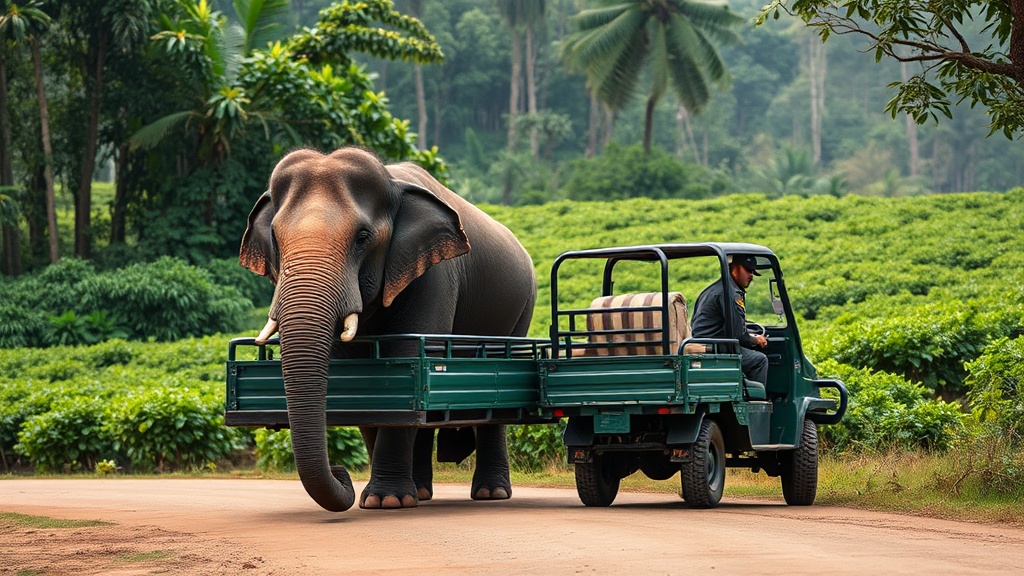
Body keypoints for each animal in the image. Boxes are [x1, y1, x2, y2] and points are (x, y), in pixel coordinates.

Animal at [239, 147, 537, 511]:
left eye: (362, 238)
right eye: (276, 239)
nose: (342, 474)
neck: (392, 180)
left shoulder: (435, 275)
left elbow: (407, 358)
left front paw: (385, 501)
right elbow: (369, 384)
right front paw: (382, 499)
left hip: (522, 309)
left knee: (498, 393)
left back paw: (489, 494)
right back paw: (421, 492)